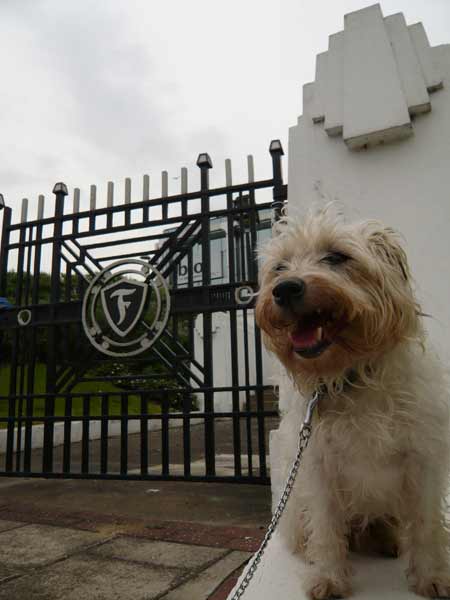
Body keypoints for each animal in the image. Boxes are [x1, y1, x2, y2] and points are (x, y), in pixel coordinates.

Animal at [255, 209, 448, 596]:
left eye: (337, 257)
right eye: (280, 267)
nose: (285, 288)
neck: (352, 379)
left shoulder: (423, 458)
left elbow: (426, 525)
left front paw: (431, 576)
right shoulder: (318, 466)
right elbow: (326, 527)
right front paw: (329, 576)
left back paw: (388, 539)